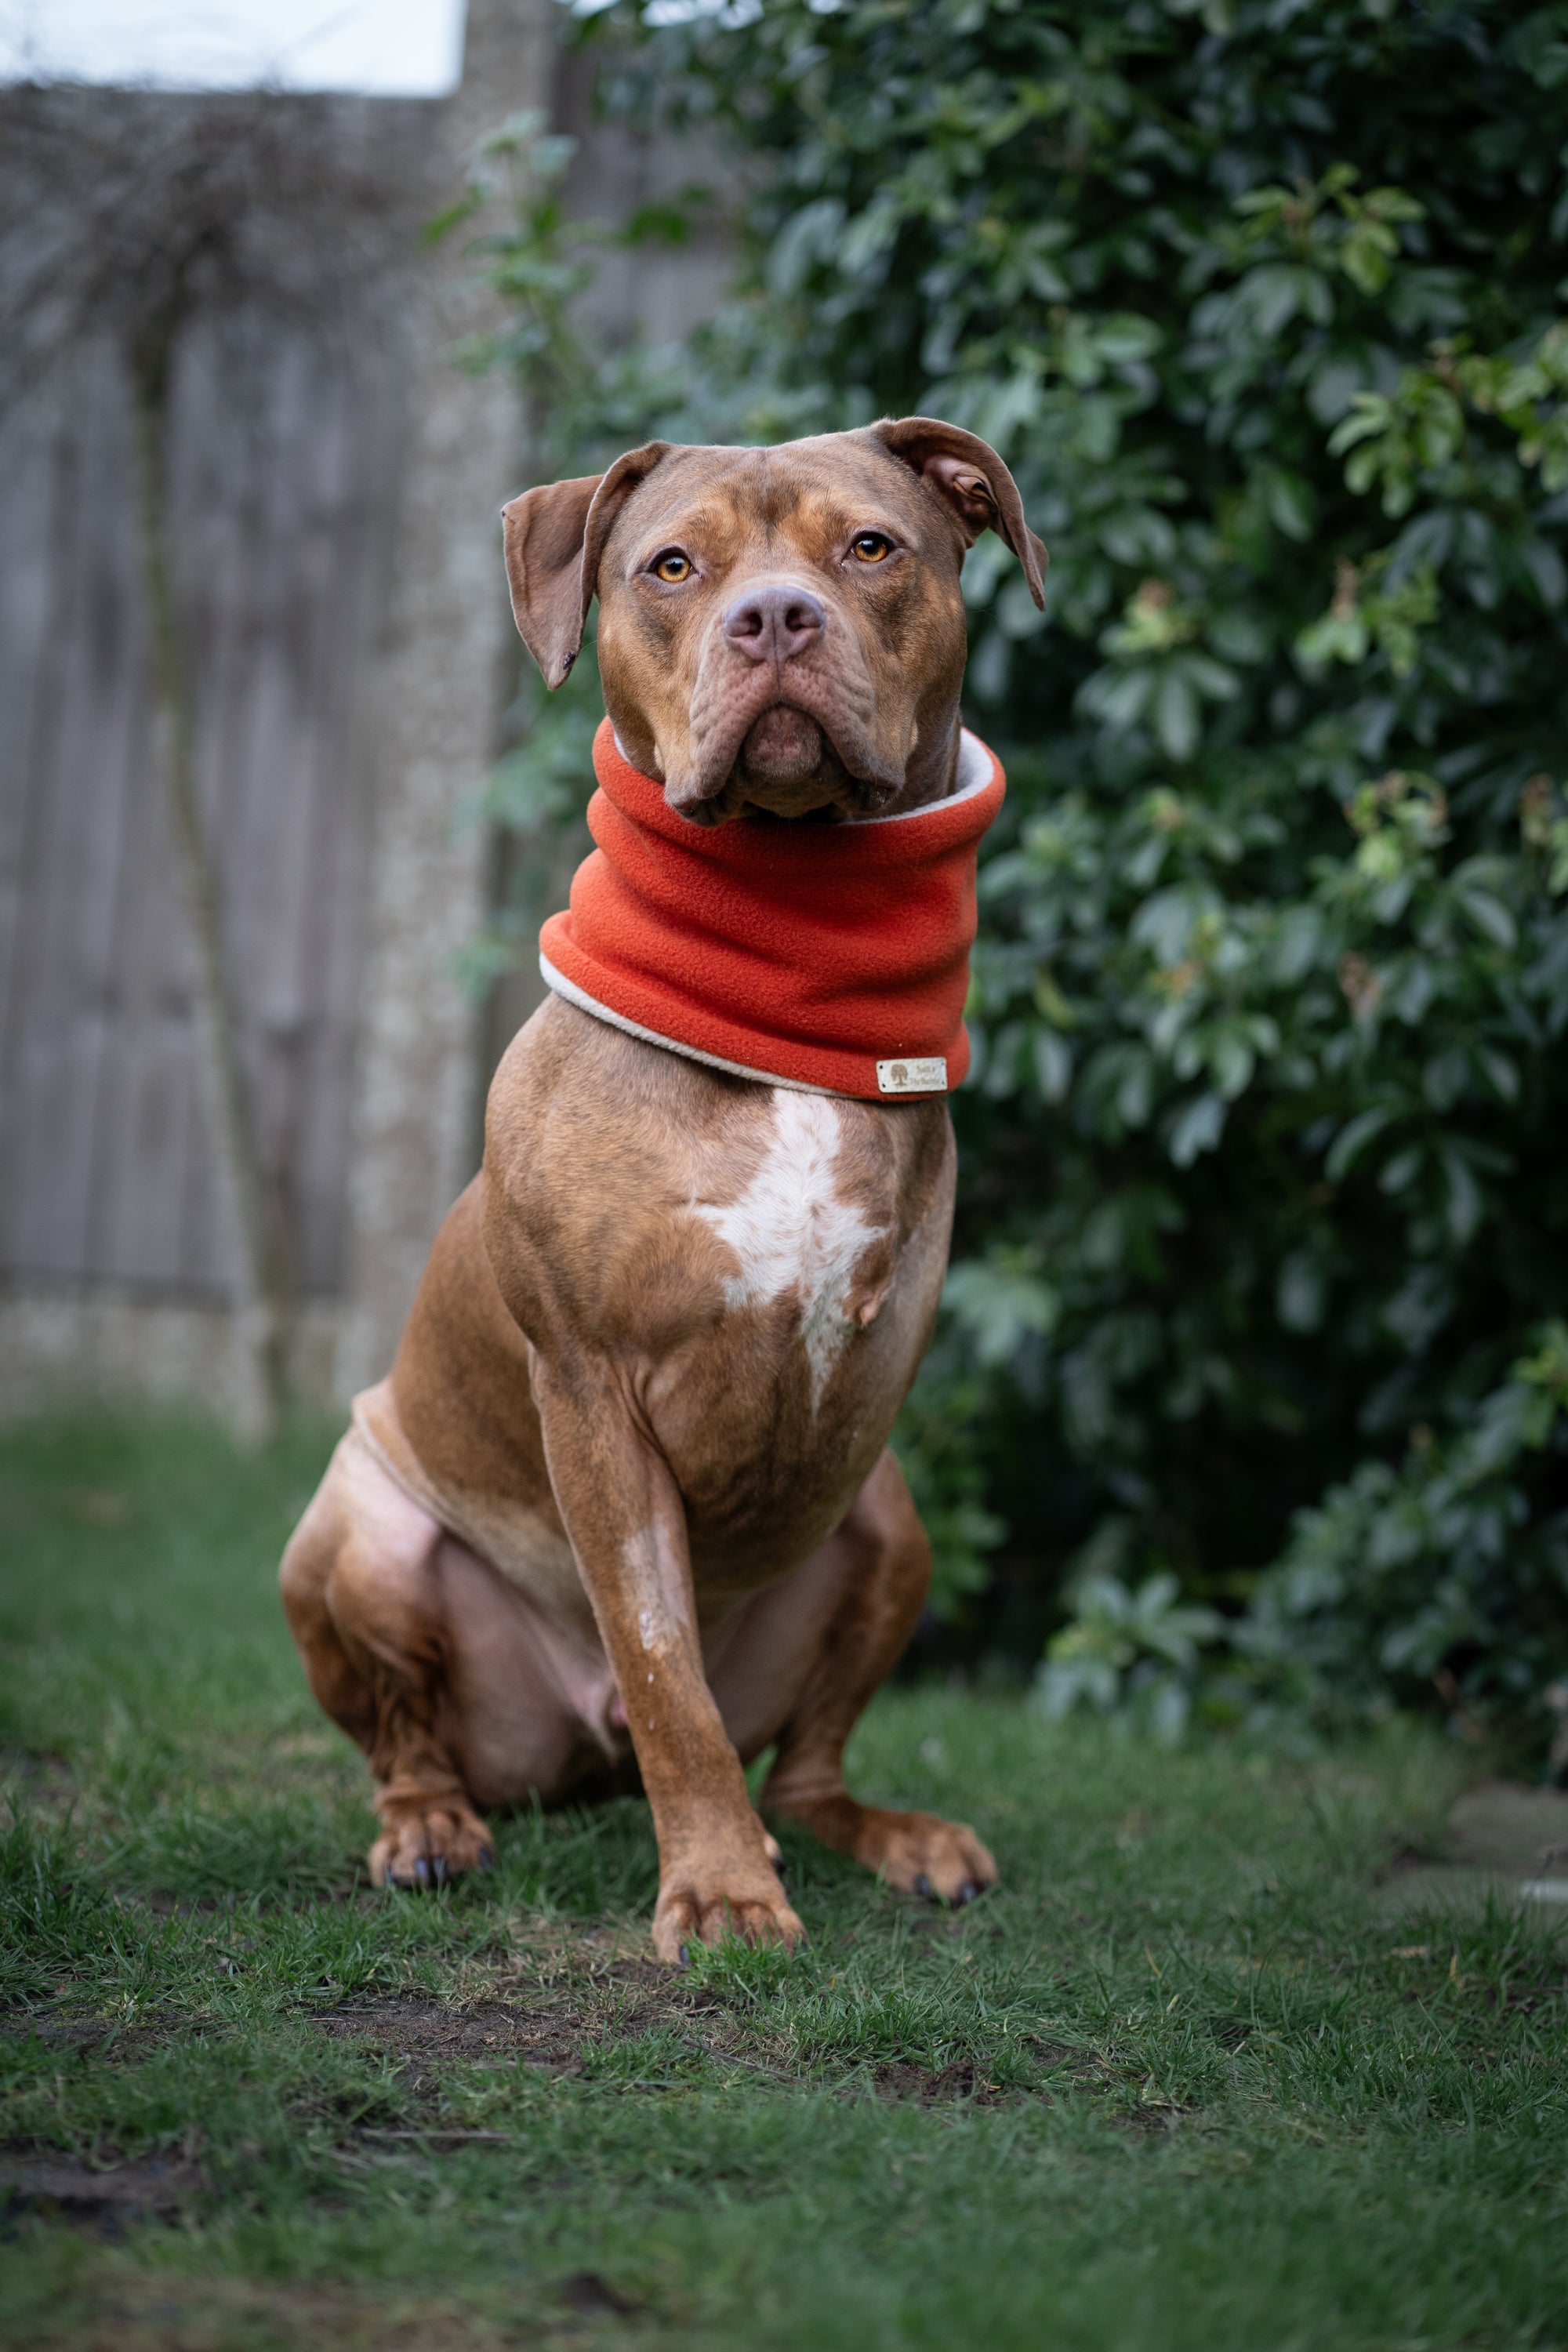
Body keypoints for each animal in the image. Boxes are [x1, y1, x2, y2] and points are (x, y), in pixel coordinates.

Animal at [281, 414, 1044, 1957]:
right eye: (673, 566)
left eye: (870, 545)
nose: (775, 618)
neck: (779, 955)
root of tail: (573, 1757)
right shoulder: (592, 1396)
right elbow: (661, 1665)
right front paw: (723, 1889)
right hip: (355, 1527)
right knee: (413, 1740)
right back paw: (430, 1831)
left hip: (891, 1522)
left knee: (808, 1764)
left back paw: (897, 1837)